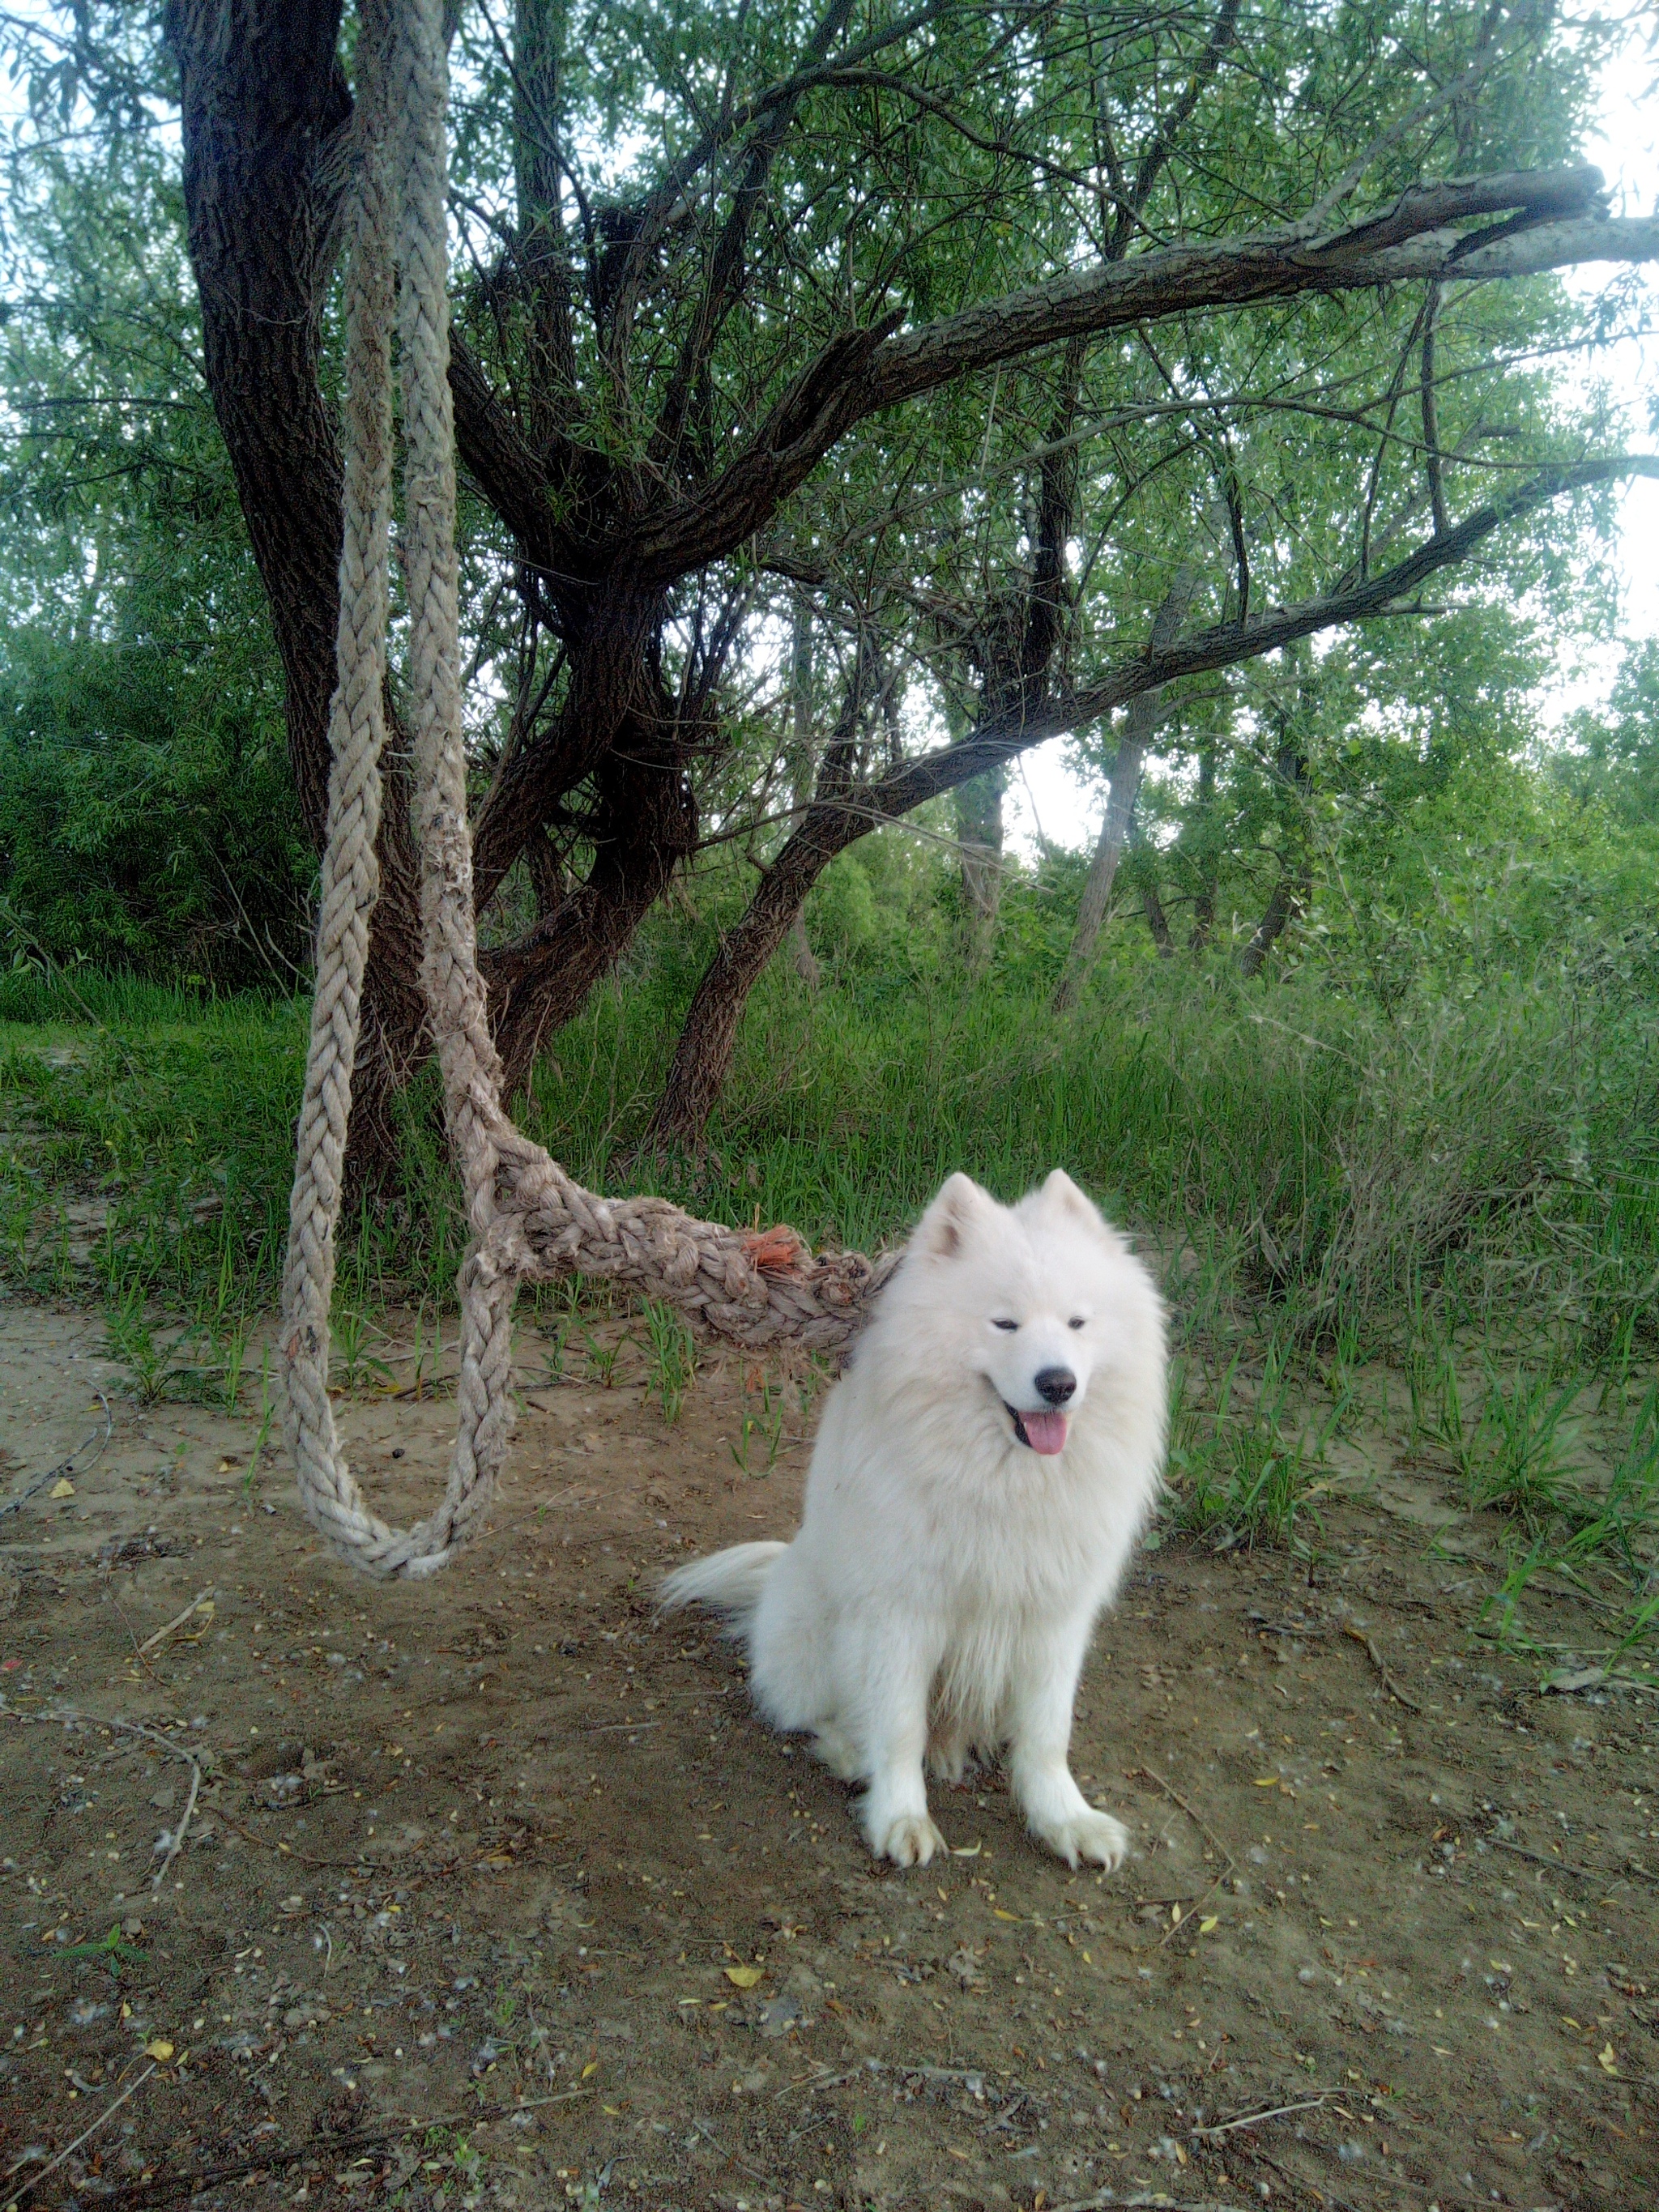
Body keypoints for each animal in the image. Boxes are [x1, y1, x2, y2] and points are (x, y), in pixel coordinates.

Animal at [663, 1167, 1167, 1875]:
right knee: (816, 1713)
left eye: (1077, 1322)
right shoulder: (901, 1614)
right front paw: (900, 1818)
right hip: (817, 1633)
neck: (1004, 1480)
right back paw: (851, 1753)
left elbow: (1047, 1735)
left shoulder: (1054, 1618)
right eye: (1005, 1323)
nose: (1059, 1383)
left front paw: (1066, 1820)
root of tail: (773, 1577)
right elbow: (899, 1726)